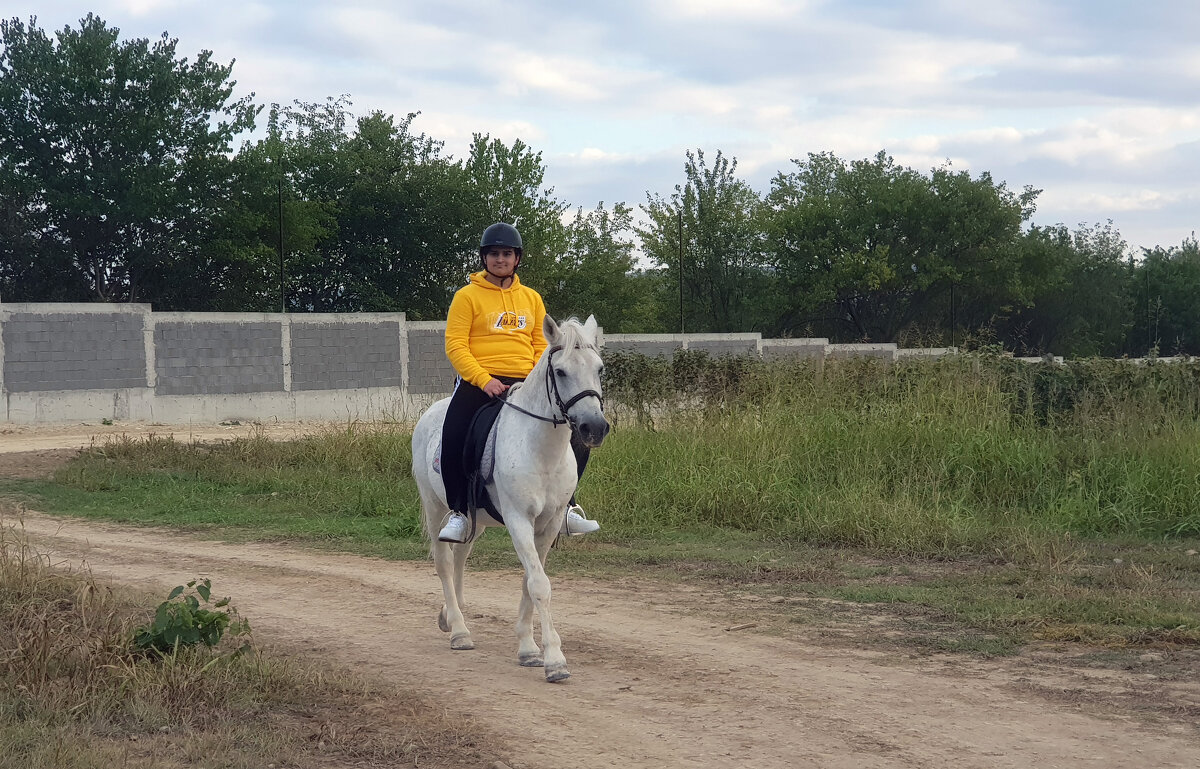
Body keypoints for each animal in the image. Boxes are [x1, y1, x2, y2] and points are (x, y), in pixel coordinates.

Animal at [412, 314, 614, 681]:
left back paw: (450, 615)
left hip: (473, 520)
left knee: (460, 558)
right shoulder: (519, 520)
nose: (594, 428)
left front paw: (528, 648)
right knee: (444, 563)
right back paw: (459, 630)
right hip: (435, 508)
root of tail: (430, 414)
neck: (541, 449)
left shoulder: (548, 524)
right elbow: (539, 584)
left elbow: (529, 580)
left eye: (600, 368)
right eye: (560, 372)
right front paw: (553, 660)